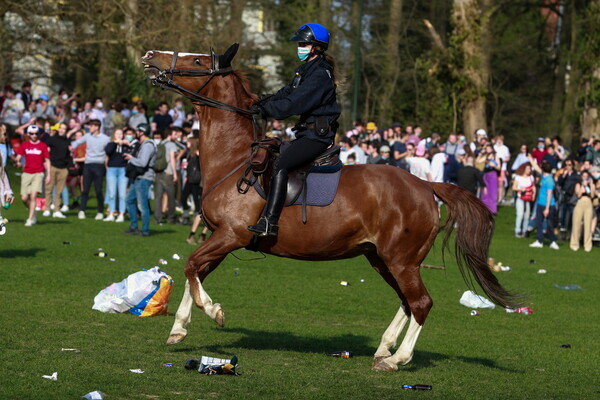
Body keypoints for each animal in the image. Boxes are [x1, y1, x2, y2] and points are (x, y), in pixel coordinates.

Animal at [141, 44, 520, 372]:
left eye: (198, 61)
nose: (149, 56)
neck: (234, 160)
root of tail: (426, 185)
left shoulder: (232, 235)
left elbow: (191, 266)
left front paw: (214, 311)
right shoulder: (221, 237)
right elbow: (195, 271)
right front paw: (179, 328)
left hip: (401, 260)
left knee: (421, 303)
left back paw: (397, 360)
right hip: (383, 259)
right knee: (406, 301)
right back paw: (384, 349)